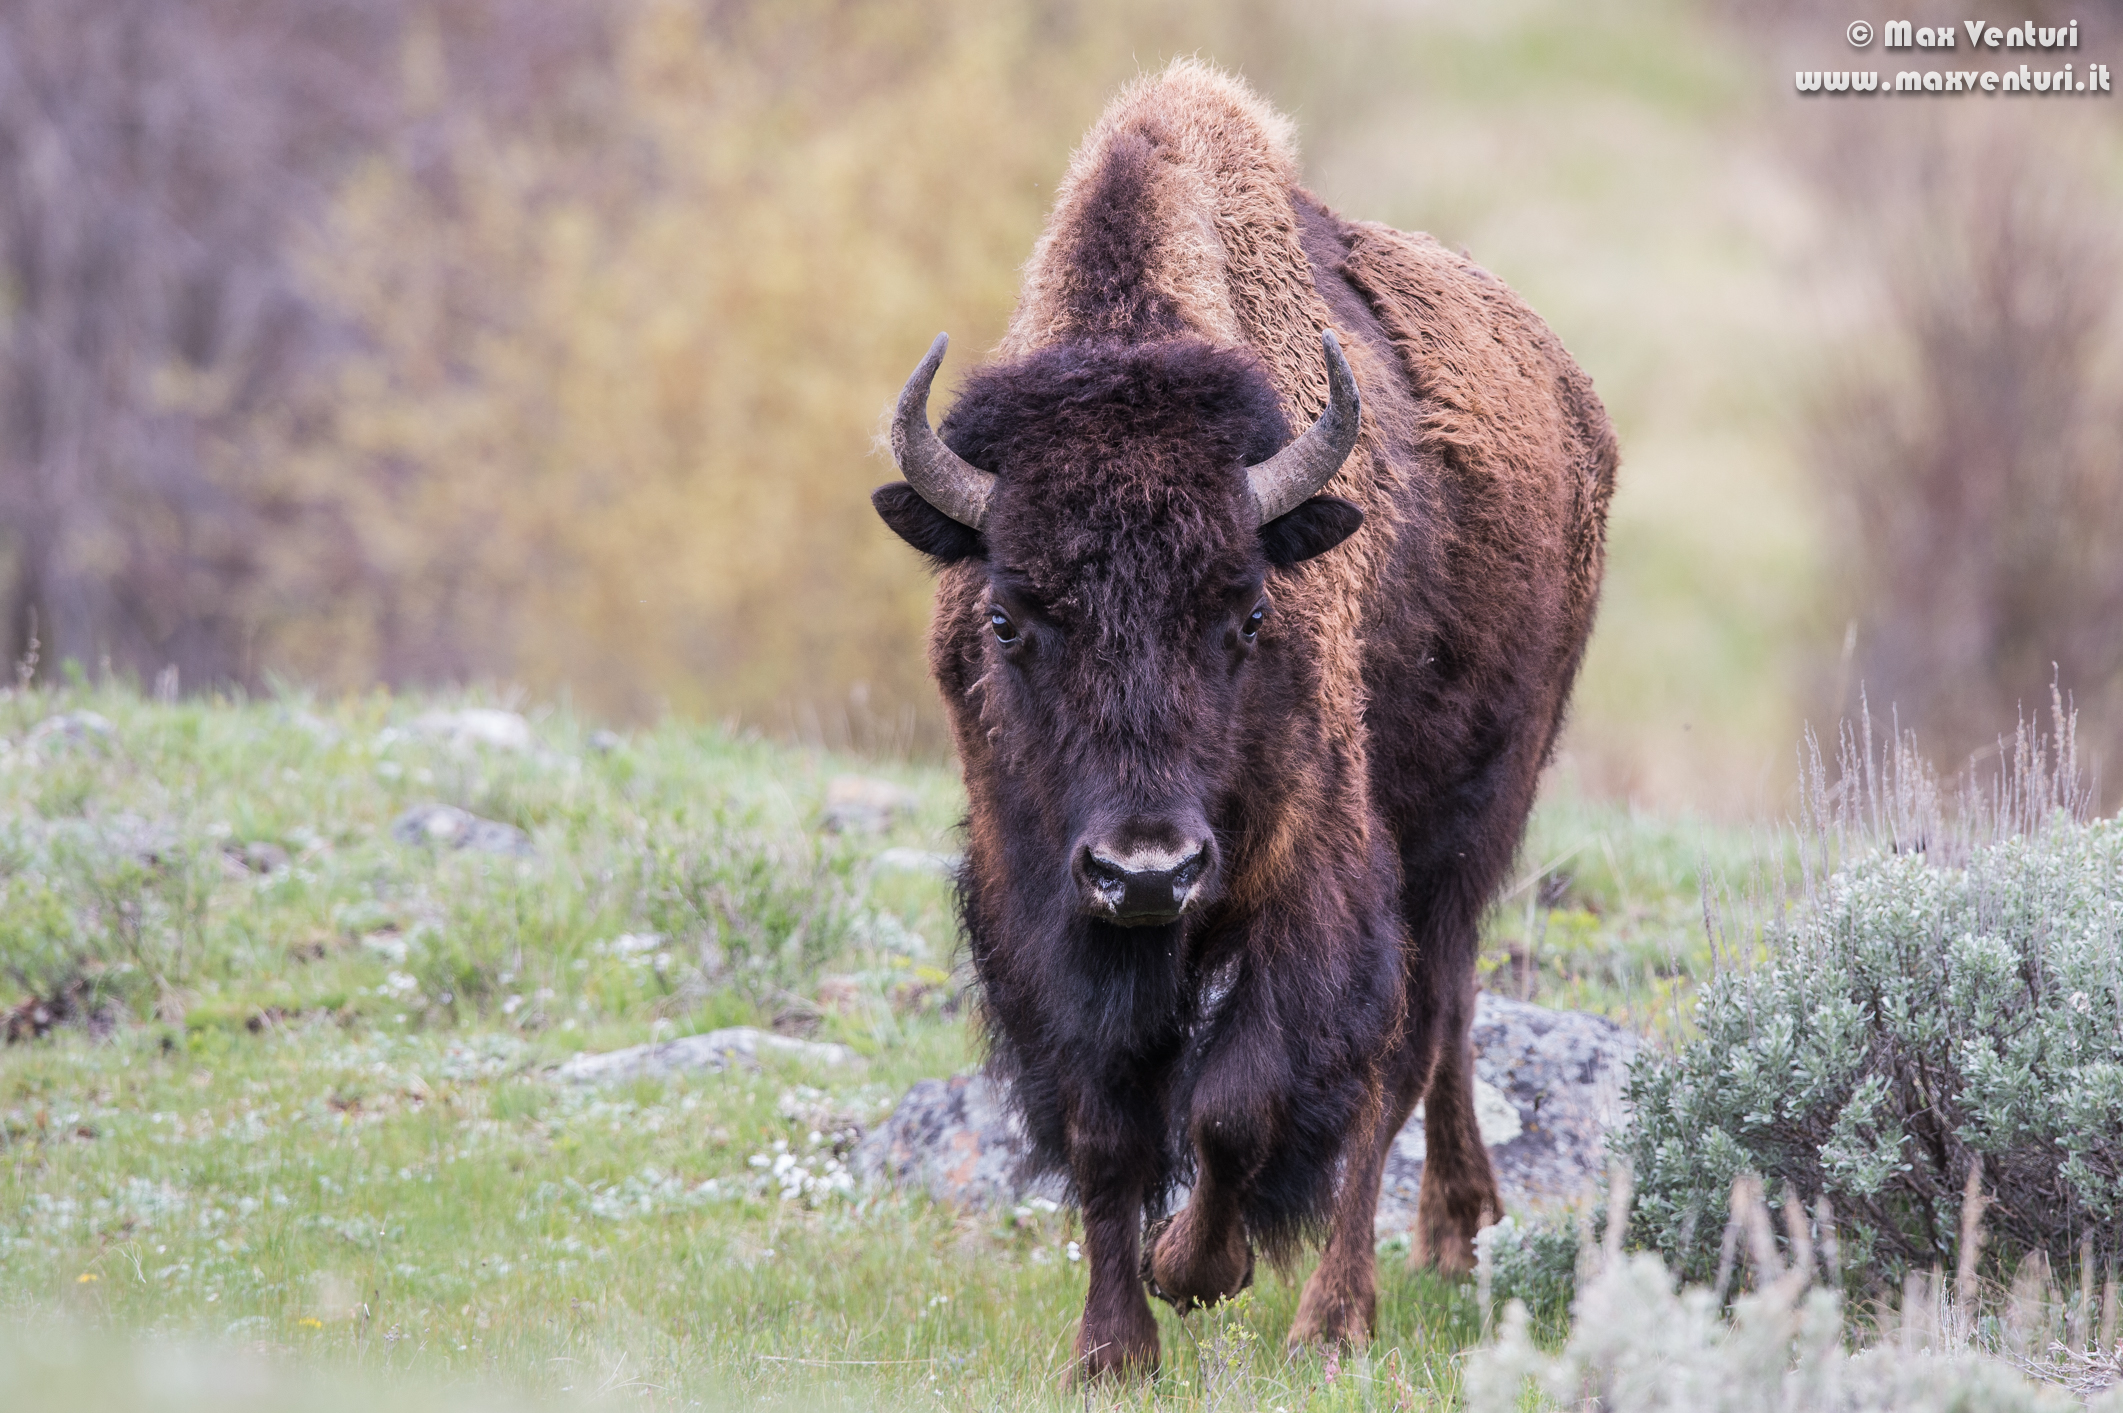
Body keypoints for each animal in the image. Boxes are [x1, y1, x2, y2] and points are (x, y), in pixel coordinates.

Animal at [870, 60, 1617, 1377]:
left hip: (1464, 831)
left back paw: (1338, 1317)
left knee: (1407, 1043)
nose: (1146, 871)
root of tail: (1577, 410)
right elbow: (1106, 1125)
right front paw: (1111, 1349)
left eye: (1250, 612)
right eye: (1006, 618)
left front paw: (1195, 1269)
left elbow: (1236, 1103)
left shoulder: (1312, 874)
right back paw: (1450, 1236)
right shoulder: (1039, 901)